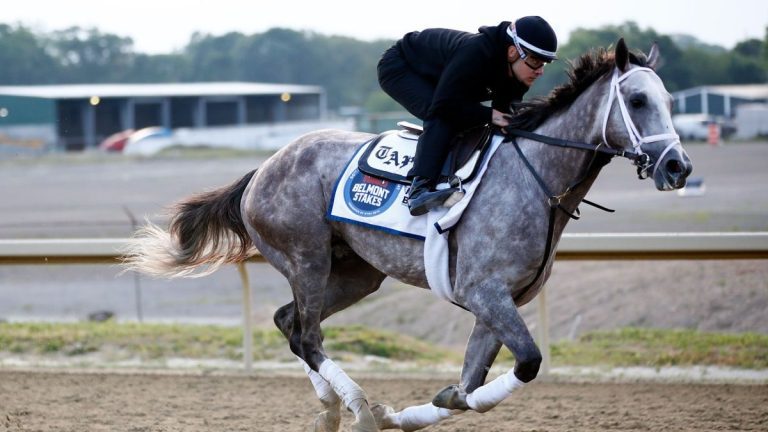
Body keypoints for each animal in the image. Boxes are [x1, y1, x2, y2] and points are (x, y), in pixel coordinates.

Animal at [123, 38, 692, 430]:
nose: (678, 166)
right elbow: (526, 364)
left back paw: (332, 408)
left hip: (357, 272)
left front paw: (411, 412)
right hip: (306, 258)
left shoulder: (499, 302)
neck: (538, 180)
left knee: (291, 324)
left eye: (668, 100)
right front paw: (392, 412)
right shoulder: (483, 292)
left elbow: (468, 387)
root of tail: (264, 167)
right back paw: (355, 407)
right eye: (637, 101)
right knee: (307, 334)